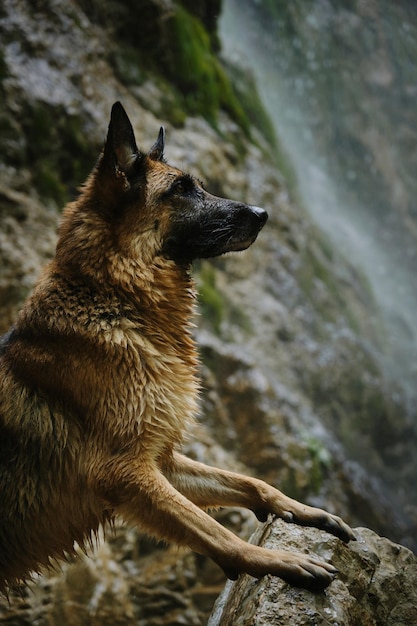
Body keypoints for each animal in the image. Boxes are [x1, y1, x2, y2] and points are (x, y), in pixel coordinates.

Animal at [0, 102, 354, 596]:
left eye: (198, 184)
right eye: (182, 190)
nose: (263, 213)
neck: (115, 299)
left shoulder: (159, 460)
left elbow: (250, 482)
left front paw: (299, 510)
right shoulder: (127, 472)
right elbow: (216, 531)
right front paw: (276, 560)